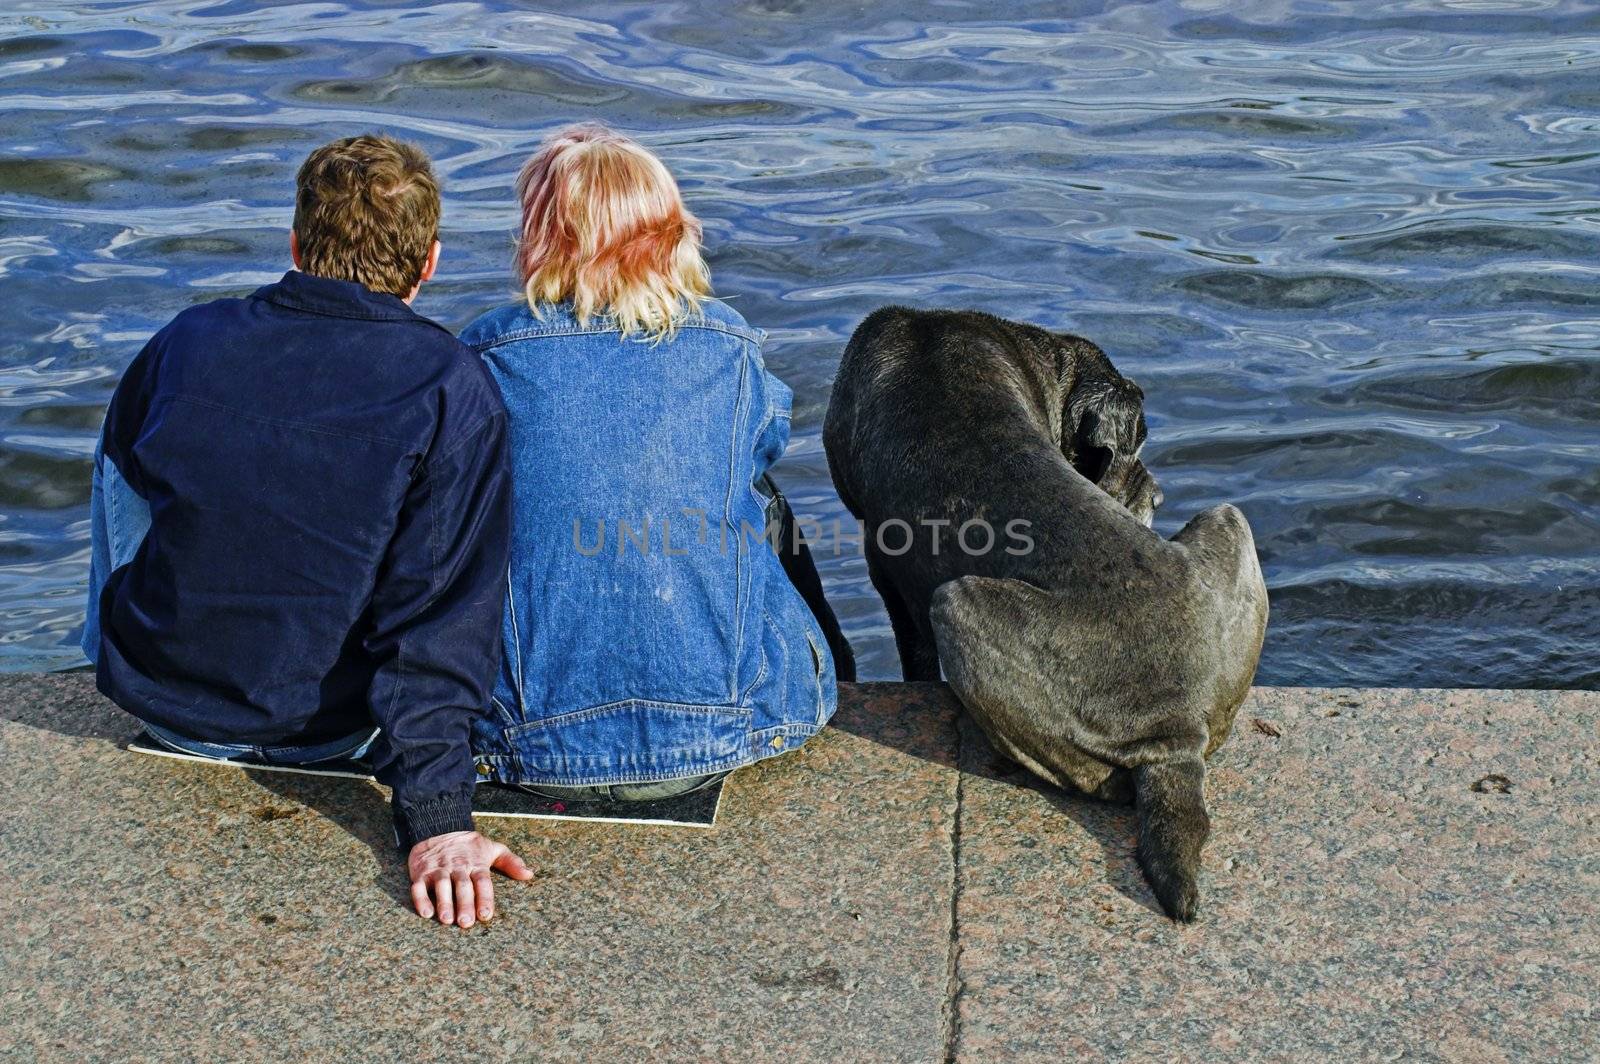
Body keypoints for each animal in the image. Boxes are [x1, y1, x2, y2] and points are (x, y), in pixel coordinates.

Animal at [825, 302, 1260, 915]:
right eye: (1137, 446)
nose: (1158, 495)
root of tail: (1174, 739)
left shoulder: (884, 565)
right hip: (1231, 521)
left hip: (954, 605)